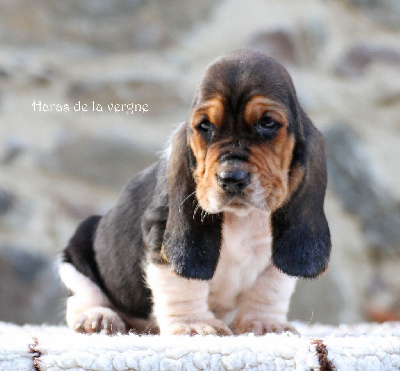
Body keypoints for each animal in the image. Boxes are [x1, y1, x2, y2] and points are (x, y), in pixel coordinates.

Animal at [59, 49, 332, 338]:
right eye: (205, 126)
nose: (231, 178)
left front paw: (264, 323)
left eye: (267, 122)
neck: (242, 217)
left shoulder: (277, 253)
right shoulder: (162, 233)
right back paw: (98, 317)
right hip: (76, 254)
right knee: (83, 296)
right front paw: (193, 324)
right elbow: (183, 285)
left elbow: (270, 287)